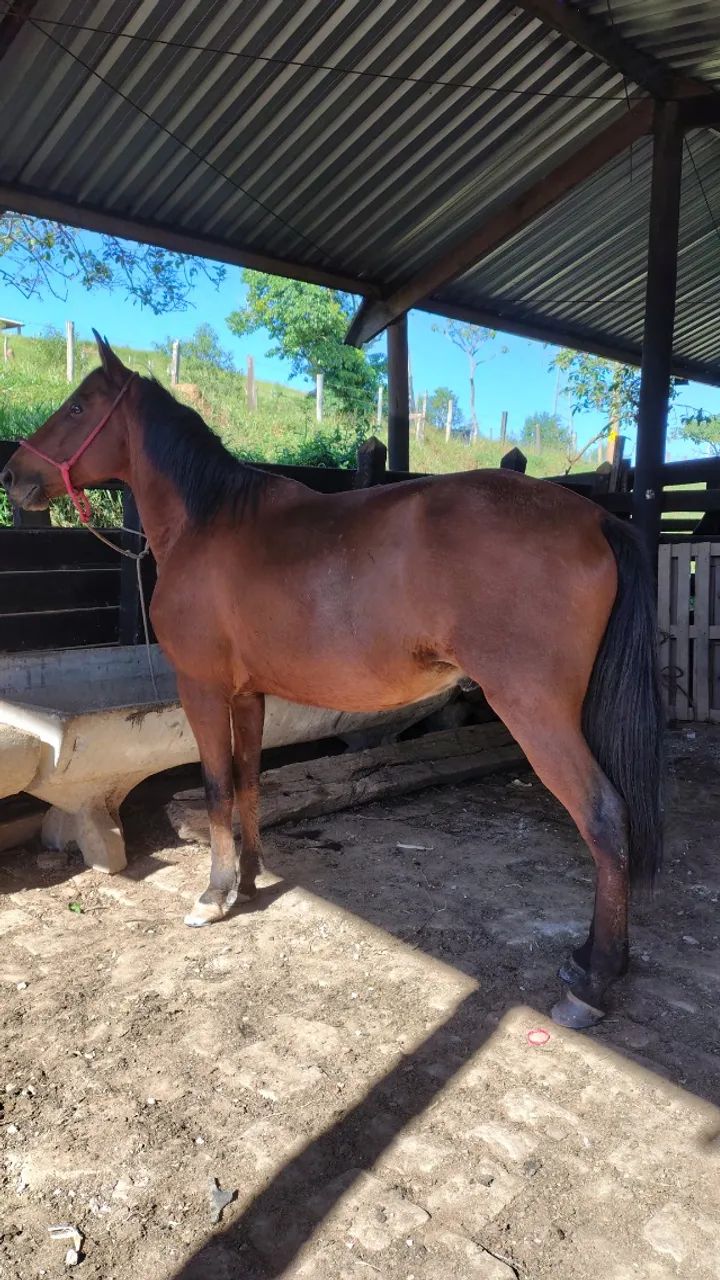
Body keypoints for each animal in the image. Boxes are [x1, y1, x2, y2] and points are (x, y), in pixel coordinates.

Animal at [0, 333, 663, 1030]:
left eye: (78, 406)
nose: (12, 476)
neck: (210, 522)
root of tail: (595, 520)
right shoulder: (250, 695)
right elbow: (248, 782)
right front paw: (251, 879)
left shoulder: (201, 690)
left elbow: (215, 788)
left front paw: (214, 894)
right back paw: (588, 959)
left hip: (536, 713)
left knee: (604, 817)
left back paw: (592, 982)